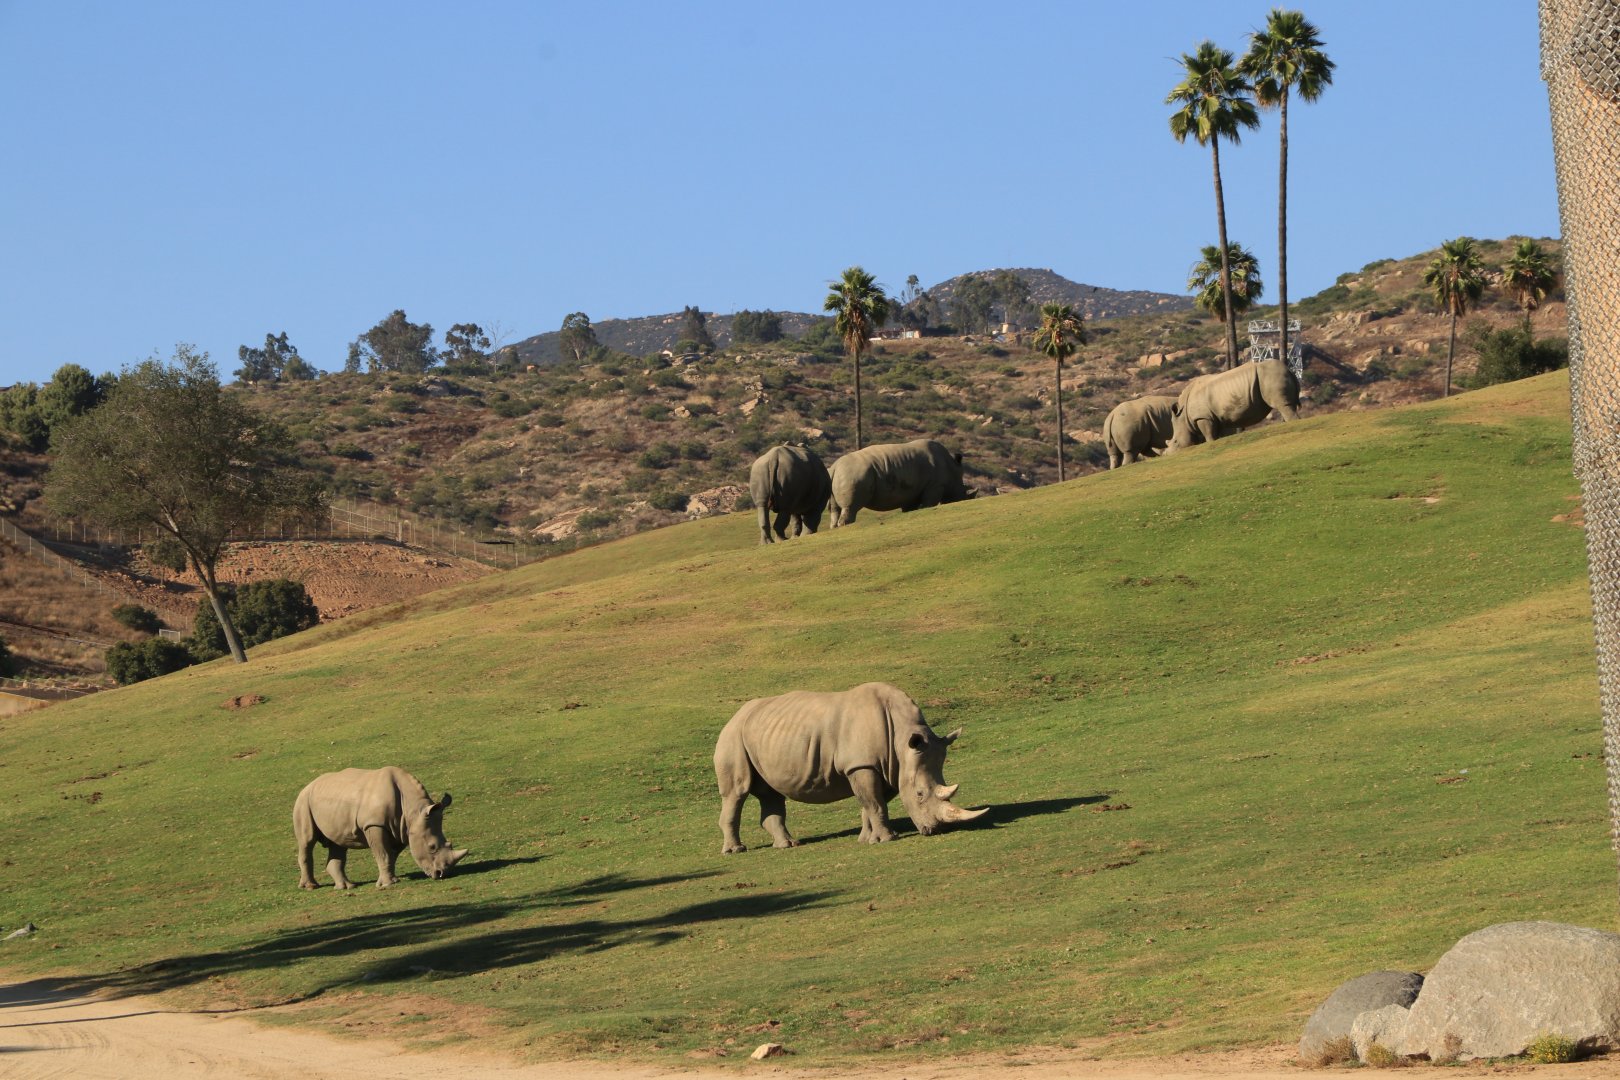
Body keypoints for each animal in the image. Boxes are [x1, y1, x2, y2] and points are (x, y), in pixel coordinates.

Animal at [294, 766, 466, 889]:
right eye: (432, 847)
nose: (442, 874)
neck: (413, 811)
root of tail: (308, 785)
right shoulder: (374, 824)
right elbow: (383, 853)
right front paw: (388, 884)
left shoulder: (401, 830)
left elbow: (391, 855)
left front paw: (390, 880)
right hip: (303, 802)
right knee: (307, 840)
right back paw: (311, 887)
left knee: (339, 843)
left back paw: (347, 887)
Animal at [714, 681, 987, 853]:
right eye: (919, 794)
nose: (935, 830)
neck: (902, 740)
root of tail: (734, 716)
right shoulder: (861, 765)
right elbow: (874, 803)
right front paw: (888, 839)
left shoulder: (887, 766)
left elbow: (871, 804)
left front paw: (868, 840)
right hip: (732, 737)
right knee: (737, 792)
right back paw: (736, 850)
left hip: (763, 735)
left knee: (771, 793)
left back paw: (789, 845)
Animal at [827, 439, 972, 527]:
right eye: (964, 491)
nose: (963, 499)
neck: (952, 469)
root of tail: (834, 467)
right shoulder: (935, 486)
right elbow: (929, 504)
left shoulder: (911, 493)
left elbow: (909, 508)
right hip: (853, 474)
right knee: (850, 507)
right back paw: (847, 526)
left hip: (842, 475)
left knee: (835, 509)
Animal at [1167, 358, 1300, 452]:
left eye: (1175, 442)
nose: (1167, 455)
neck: (1182, 415)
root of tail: (1289, 370)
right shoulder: (1214, 417)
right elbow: (1216, 433)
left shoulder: (1203, 417)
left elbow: (1208, 434)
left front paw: (1210, 443)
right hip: (1275, 375)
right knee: (1290, 405)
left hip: (1271, 375)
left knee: (1283, 406)